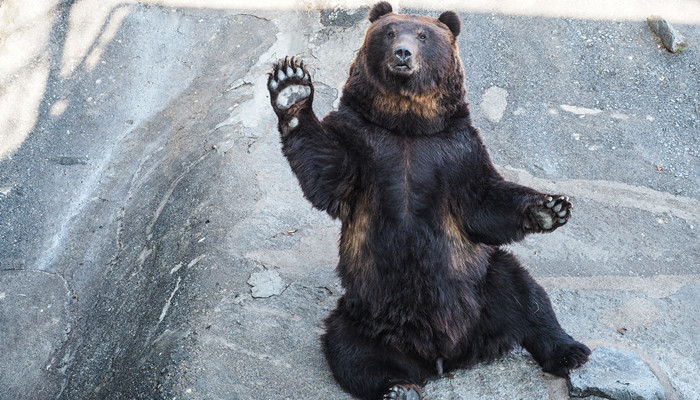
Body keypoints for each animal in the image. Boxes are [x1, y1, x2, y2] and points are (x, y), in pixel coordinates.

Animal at [267, 2, 590, 399]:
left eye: (423, 35)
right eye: (389, 32)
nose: (402, 54)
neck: (407, 126)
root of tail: (444, 358)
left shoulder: (456, 152)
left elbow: (483, 203)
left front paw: (549, 207)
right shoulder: (363, 143)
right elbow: (328, 170)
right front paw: (291, 88)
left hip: (481, 285)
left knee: (524, 294)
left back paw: (570, 351)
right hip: (363, 314)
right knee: (350, 351)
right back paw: (397, 387)